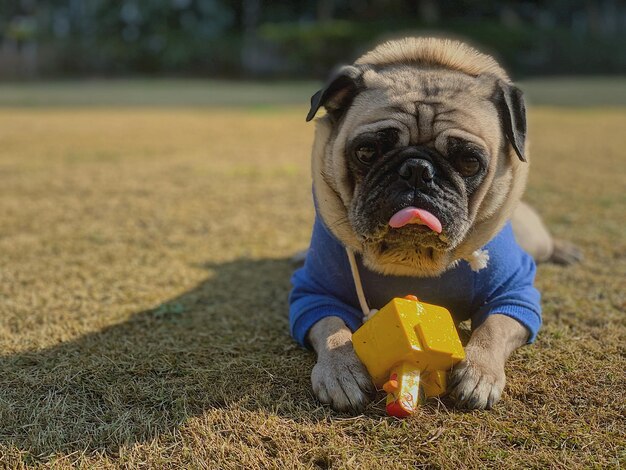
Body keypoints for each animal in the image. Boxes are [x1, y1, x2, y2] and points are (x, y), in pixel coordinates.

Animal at [288, 37, 580, 412]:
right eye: (367, 152)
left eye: (469, 162)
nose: (417, 170)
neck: (411, 259)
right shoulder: (313, 294)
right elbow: (330, 325)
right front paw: (340, 368)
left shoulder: (515, 294)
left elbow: (494, 327)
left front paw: (479, 371)